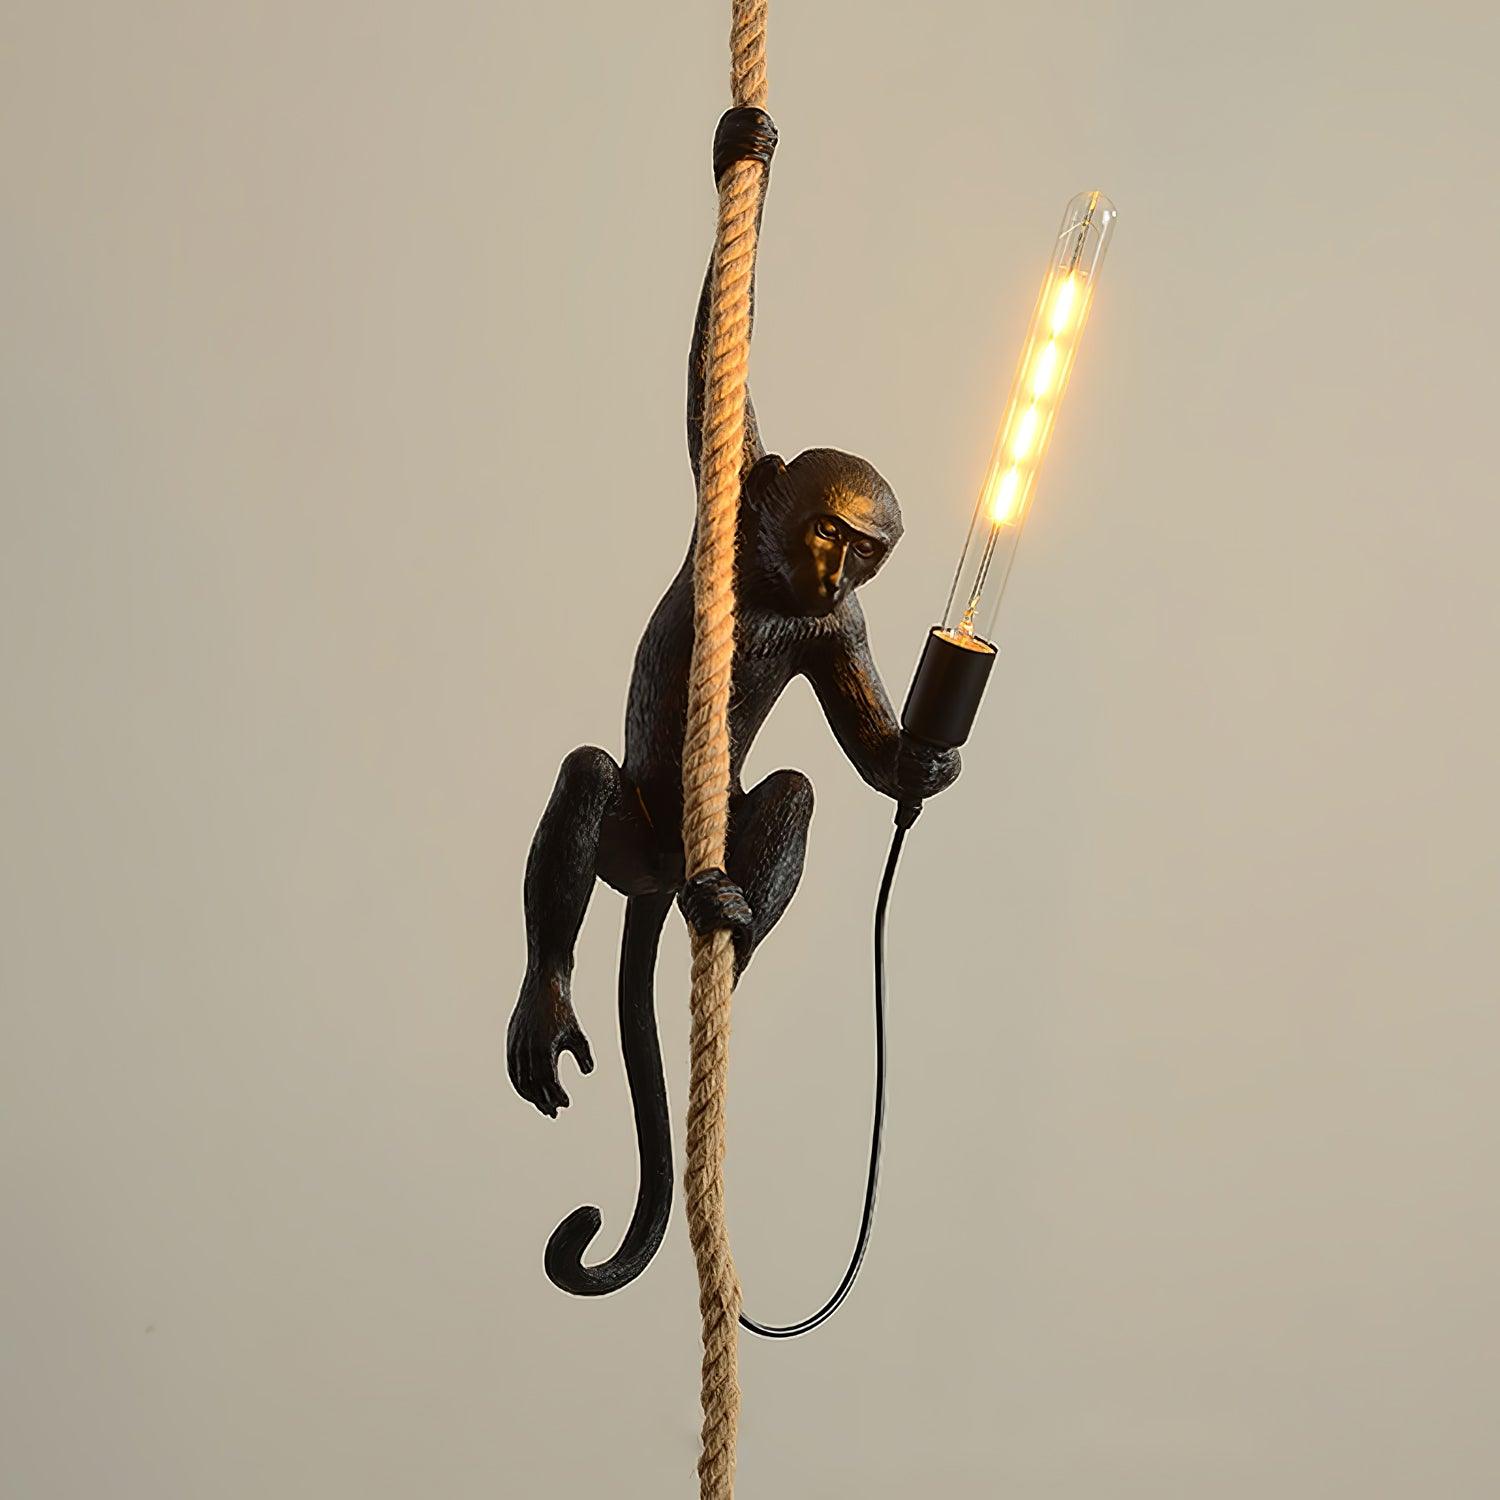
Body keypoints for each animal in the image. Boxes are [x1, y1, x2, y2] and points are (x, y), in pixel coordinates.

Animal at [507, 107, 961, 1296]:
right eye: (830, 529)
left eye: (868, 551)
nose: (840, 568)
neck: (768, 586)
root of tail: (669, 874)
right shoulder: (738, 487)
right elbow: (716, 354)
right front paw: (742, 152)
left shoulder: (841, 630)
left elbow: (865, 758)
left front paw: (927, 764)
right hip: (632, 844)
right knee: (588, 780)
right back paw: (548, 1000)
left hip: (692, 850)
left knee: (793, 792)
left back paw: (734, 928)